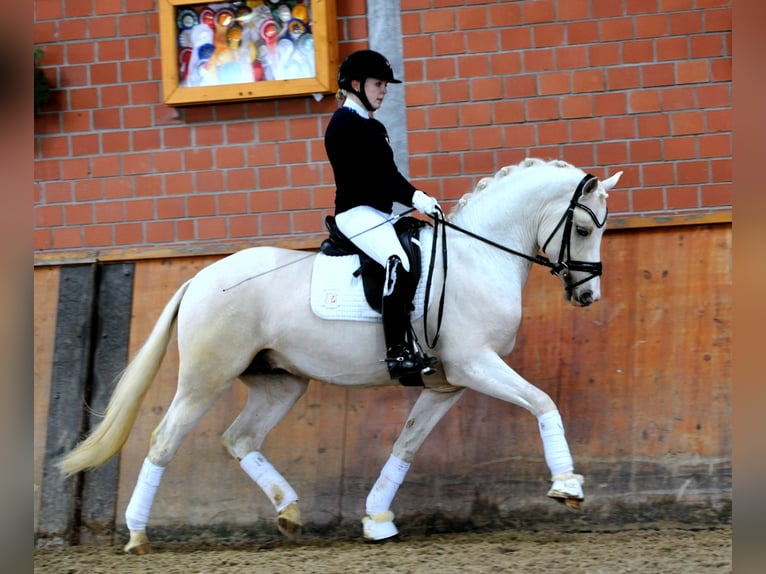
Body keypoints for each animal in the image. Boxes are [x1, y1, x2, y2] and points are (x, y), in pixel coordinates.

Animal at [58, 158, 622, 554]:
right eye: (584, 229)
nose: (588, 296)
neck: (476, 257)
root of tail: (199, 278)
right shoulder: (477, 364)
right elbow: (543, 401)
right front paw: (567, 485)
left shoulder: (448, 383)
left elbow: (406, 444)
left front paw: (377, 519)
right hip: (205, 379)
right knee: (164, 440)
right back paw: (137, 535)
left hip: (280, 382)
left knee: (240, 439)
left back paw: (289, 513)